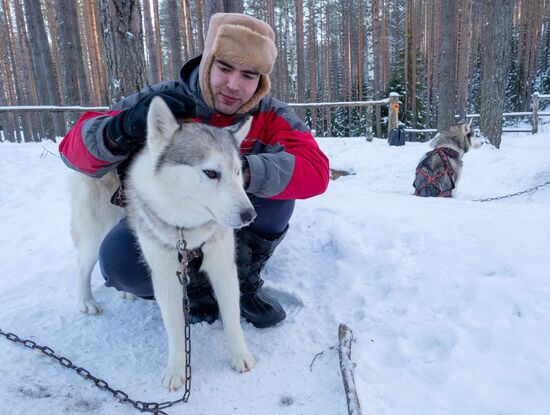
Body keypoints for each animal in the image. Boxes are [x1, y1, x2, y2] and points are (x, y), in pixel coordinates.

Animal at [70, 96, 258, 390]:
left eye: (239, 171)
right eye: (211, 173)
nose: (250, 215)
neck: (187, 229)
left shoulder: (223, 268)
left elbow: (232, 318)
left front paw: (240, 355)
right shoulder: (167, 277)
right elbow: (176, 330)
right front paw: (176, 370)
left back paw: (124, 293)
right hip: (96, 233)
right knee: (83, 265)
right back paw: (86, 301)